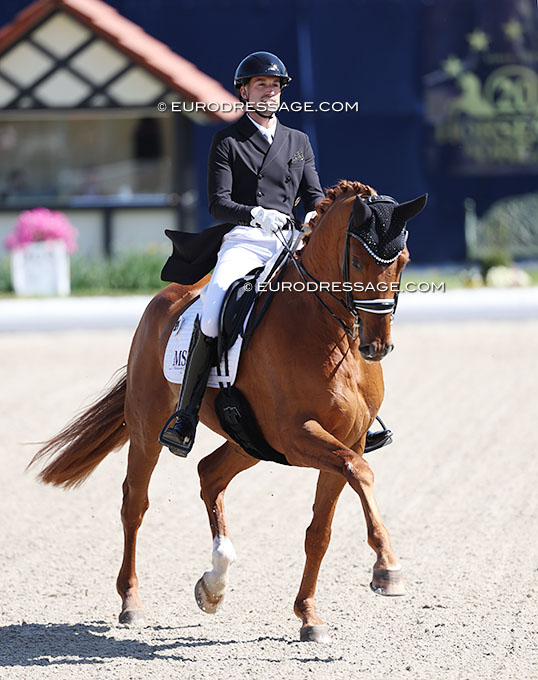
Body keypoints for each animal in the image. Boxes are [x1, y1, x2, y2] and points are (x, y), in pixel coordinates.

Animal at [30, 180, 426, 643]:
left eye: (404, 261)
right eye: (360, 260)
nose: (376, 346)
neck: (324, 331)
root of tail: (165, 299)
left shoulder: (350, 439)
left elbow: (321, 530)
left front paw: (309, 616)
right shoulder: (299, 436)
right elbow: (361, 474)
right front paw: (387, 569)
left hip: (249, 441)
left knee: (209, 474)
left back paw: (214, 583)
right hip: (149, 427)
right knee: (135, 503)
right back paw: (131, 602)